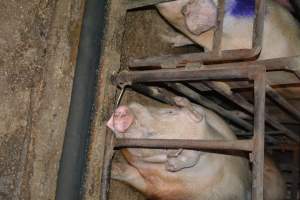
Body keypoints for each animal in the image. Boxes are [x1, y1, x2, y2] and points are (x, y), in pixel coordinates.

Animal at [108, 96, 286, 198]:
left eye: (168, 149)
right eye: (169, 112)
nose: (124, 115)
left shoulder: (163, 190)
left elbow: (134, 178)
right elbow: (126, 172)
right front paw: (112, 169)